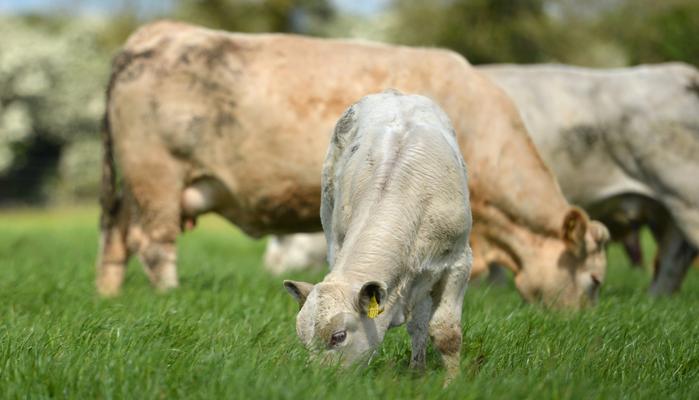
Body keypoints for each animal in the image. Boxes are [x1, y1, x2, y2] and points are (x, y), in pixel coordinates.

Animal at [98, 20, 608, 309]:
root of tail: (159, 31)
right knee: (154, 244)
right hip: (157, 175)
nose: (577, 324)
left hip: (135, 187)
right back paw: (171, 297)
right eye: (595, 280)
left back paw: (110, 297)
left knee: (117, 236)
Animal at [284, 89, 472, 382]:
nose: (321, 380)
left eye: (338, 336)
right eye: (305, 342)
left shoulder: (459, 264)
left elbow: (446, 333)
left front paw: (451, 384)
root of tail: (395, 93)